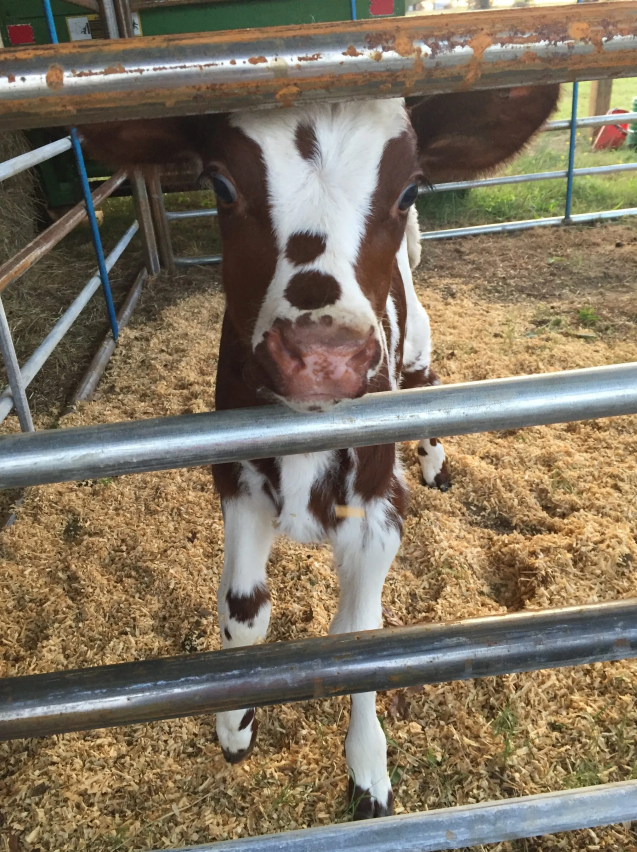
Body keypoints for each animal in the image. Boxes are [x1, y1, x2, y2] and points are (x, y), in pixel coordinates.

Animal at [80, 83, 559, 820]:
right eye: (219, 183)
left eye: (408, 189)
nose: (320, 358)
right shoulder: (236, 477)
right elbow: (243, 610)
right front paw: (234, 724)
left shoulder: (379, 505)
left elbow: (359, 637)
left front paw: (367, 767)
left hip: (417, 343)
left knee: (428, 383)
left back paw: (435, 462)